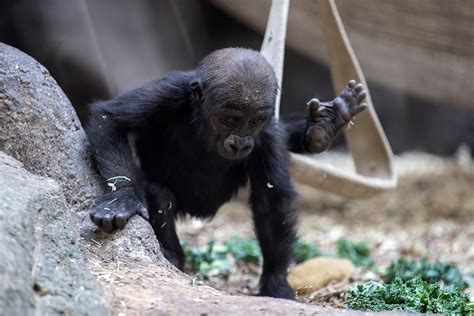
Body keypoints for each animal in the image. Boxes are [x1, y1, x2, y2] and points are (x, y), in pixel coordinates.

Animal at [85, 47, 366, 298]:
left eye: (254, 121)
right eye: (231, 119)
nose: (240, 143)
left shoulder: (267, 135)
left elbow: (270, 203)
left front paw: (275, 281)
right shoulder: (168, 92)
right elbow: (110, 119)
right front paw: (122, 197)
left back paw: (322, 129)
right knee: (159, 194)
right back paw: (173, 254)